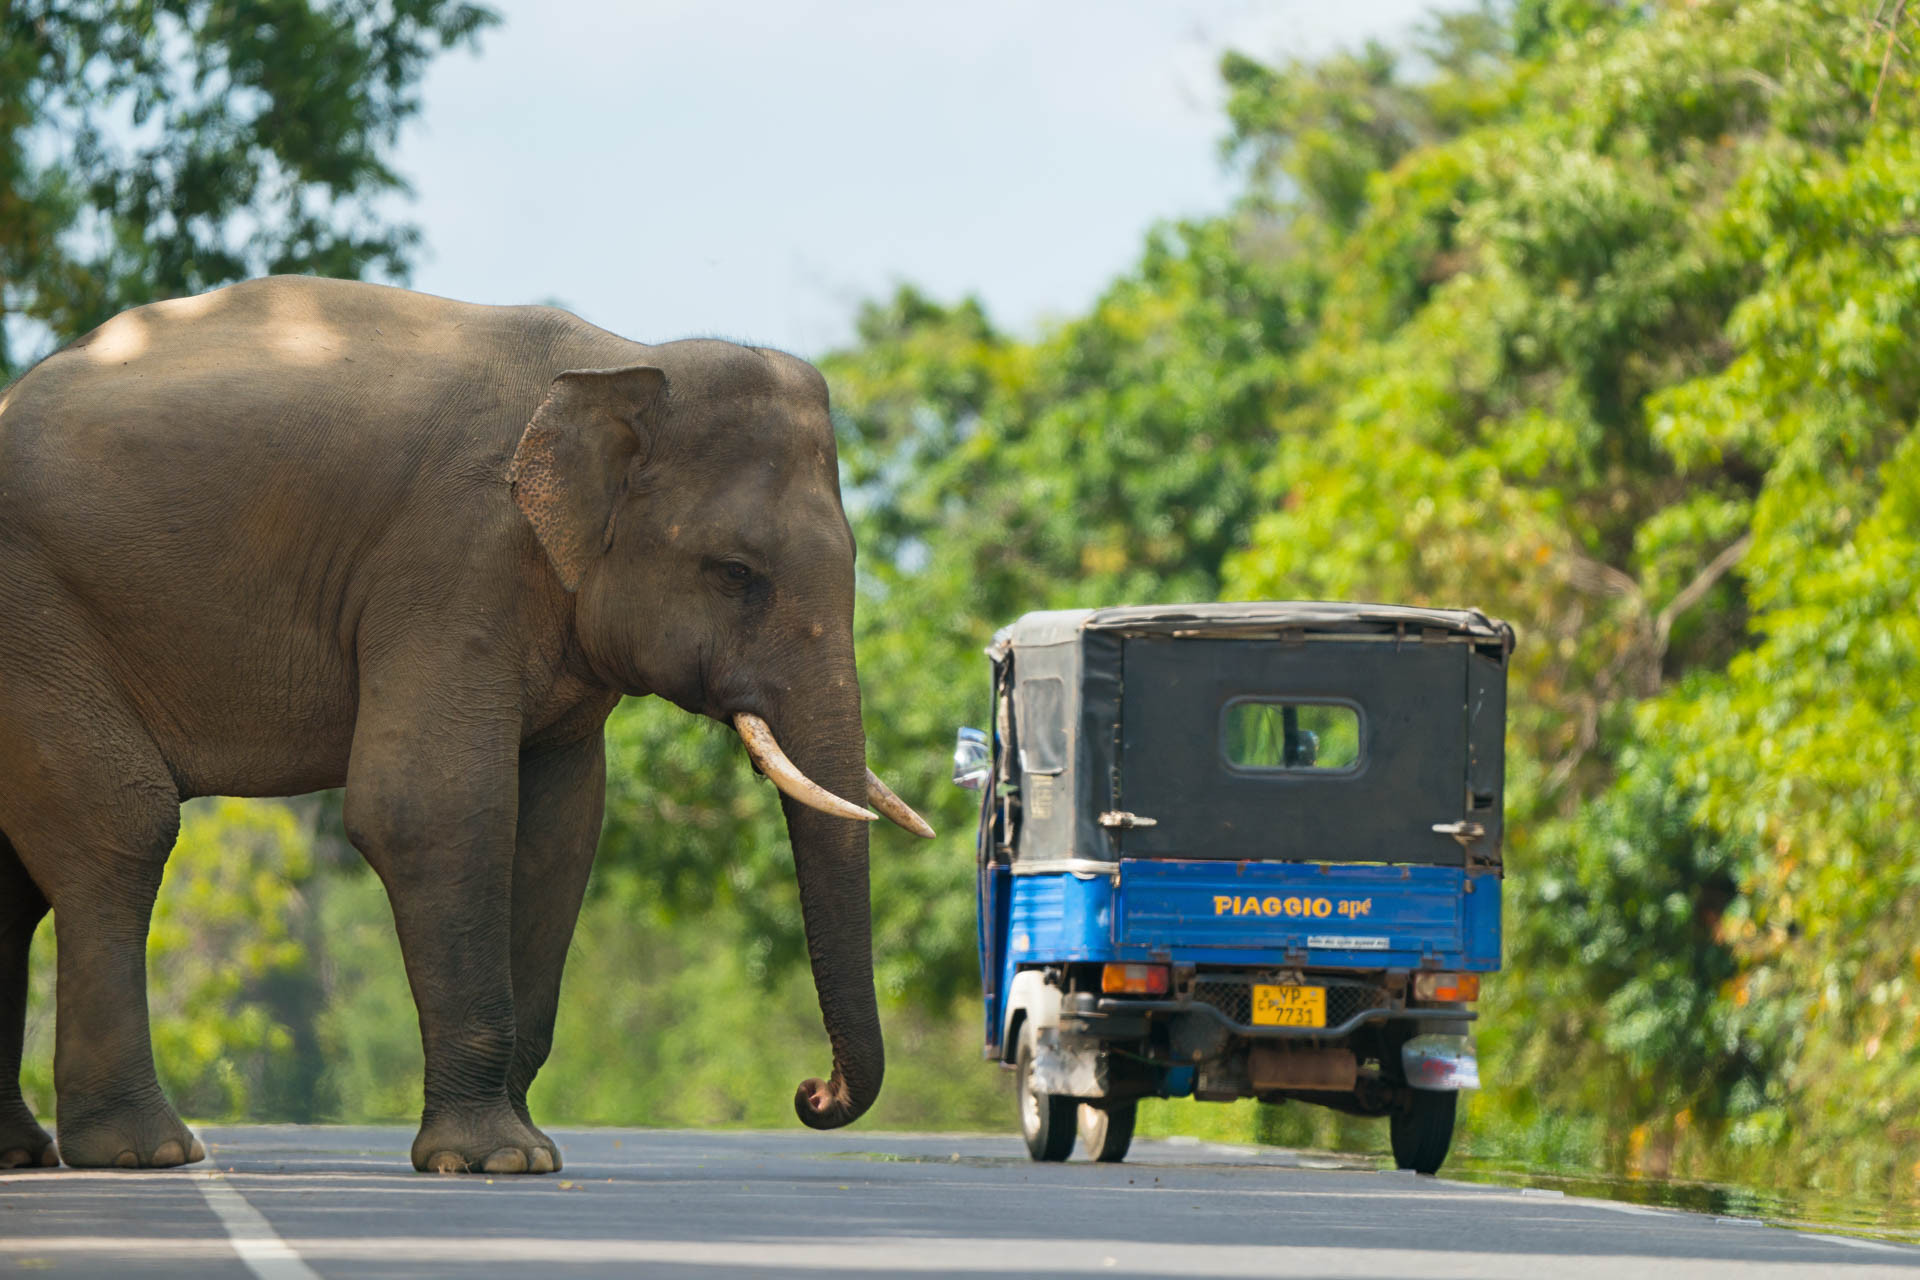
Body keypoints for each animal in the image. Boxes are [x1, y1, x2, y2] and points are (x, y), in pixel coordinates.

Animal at [0, 276, 929, 1174]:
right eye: (736, 573)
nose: (811, 1094)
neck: (617, 361)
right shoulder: (452, 560)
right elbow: (429, 810)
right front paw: (496, 1160)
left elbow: (559, 834)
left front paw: (526, 1150)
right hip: (35, 623)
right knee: (123, 826)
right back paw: (145, 1151)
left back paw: (31, 1150)